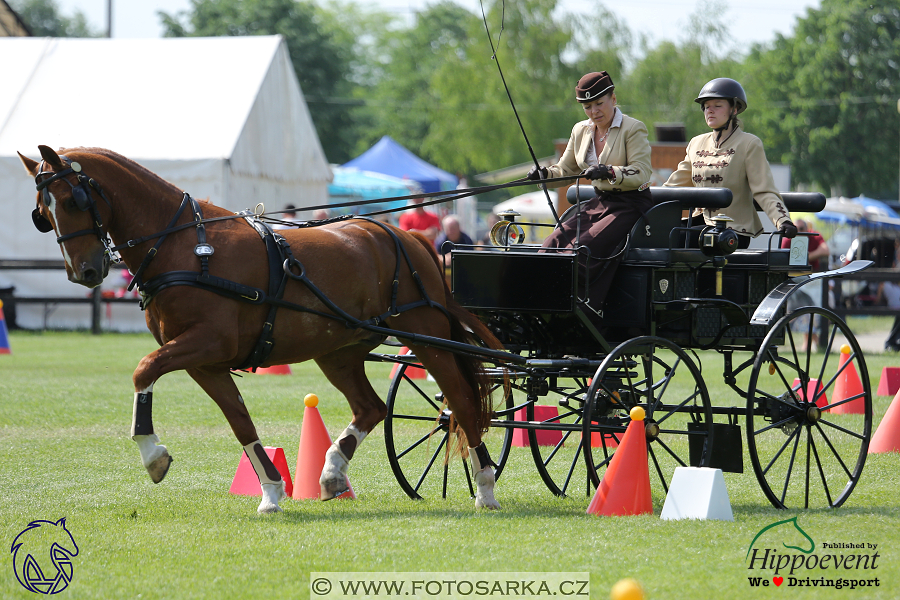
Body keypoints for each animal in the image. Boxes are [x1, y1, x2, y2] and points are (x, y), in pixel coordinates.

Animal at [21, 145, 502, 510]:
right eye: (42, 212)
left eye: (73, 201)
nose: (83, 271)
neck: (186, 246)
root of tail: (405, 237)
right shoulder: (204, 360)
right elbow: (240, 422)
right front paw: (271, 490)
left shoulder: (206, 342)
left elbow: (144, 369)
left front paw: (153, 454)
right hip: (338, 350)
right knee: (371, 408)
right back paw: (332, 473)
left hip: (426, 335)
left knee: (461, 401)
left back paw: (485, 484)